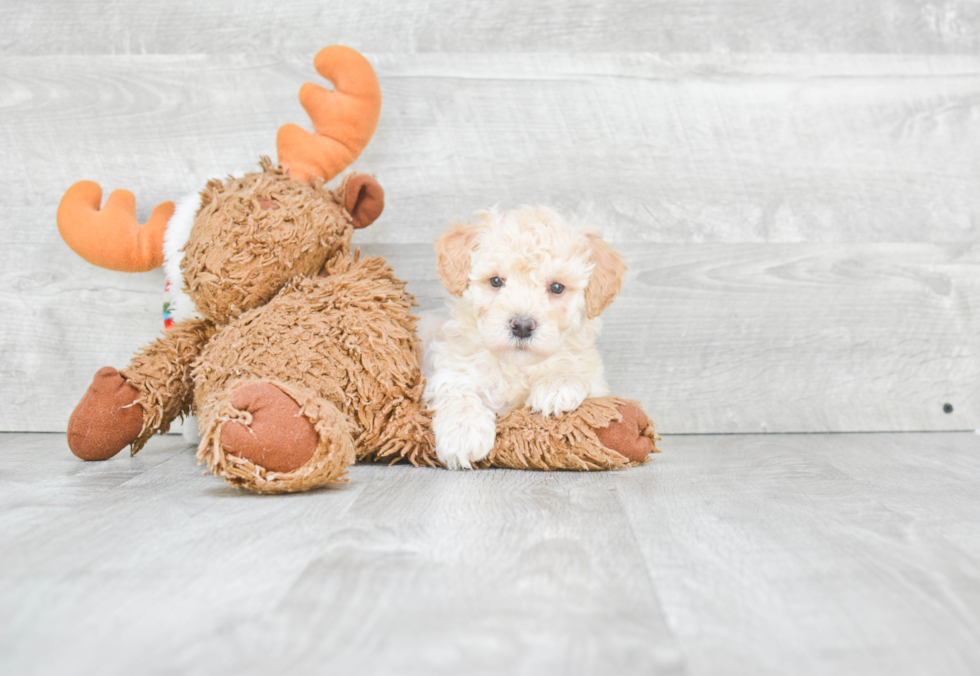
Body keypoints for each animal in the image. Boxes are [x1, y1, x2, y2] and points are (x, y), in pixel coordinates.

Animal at [424, 206, 624, 470]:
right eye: (496, 281)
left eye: (557, 287)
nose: (521, 326)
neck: (517, 366)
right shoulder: (452, 369)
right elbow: (458, 393)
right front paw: (463, 433)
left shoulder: (597, 382)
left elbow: (579, 374)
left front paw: (556, 386)